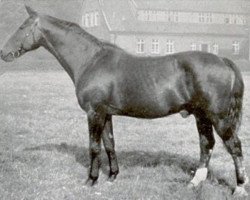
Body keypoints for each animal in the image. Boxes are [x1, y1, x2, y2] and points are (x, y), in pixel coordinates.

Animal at [0, 5, 248, 196]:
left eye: (22, 27)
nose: (4, 53)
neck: (91, 60)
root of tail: (223, 60)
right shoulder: (106, 113)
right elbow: (109, 144)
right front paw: (112, 176)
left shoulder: (94, 113)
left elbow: (94, 147)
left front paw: (91, 180)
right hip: (201, 116)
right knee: (206, 145)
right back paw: (194, 183)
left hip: (219, 117)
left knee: (234, 146)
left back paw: (239, 188)